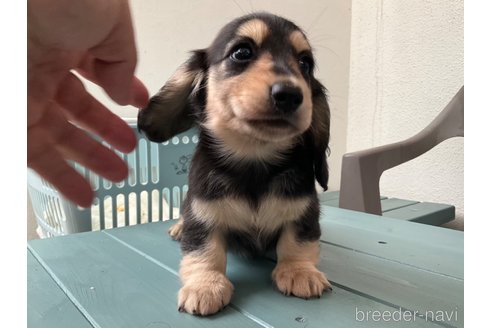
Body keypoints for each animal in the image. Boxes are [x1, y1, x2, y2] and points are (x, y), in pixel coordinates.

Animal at [136, 12, 332, 316]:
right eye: (242, 52)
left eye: (305, 63)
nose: (290, 94)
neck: (254, 160)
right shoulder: (202, 214)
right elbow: (205, 250)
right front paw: (205, 285)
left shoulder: (303, 212)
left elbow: (298, 241)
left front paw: (300, 271)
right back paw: (179, 228)